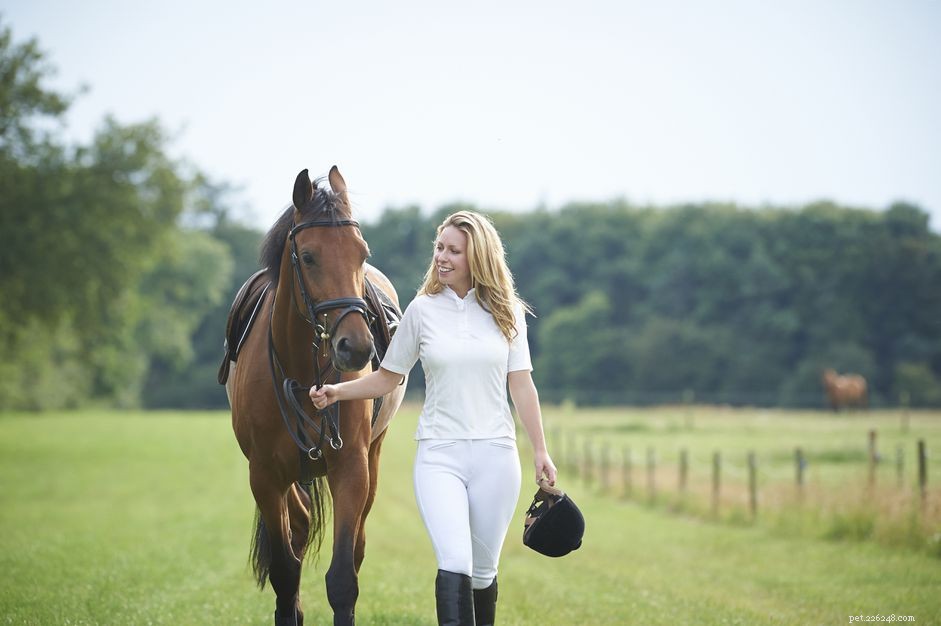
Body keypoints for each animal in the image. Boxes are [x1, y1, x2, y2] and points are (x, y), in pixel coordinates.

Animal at [223, 166, 406, 626]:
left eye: (361, 253)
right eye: (308, 257)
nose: (356, 347)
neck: (303, 372)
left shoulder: (352, 468)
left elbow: (342, 577)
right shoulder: (264, 476)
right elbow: (285, 572)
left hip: (372, 458)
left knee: (354, 545)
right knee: (299, 530)